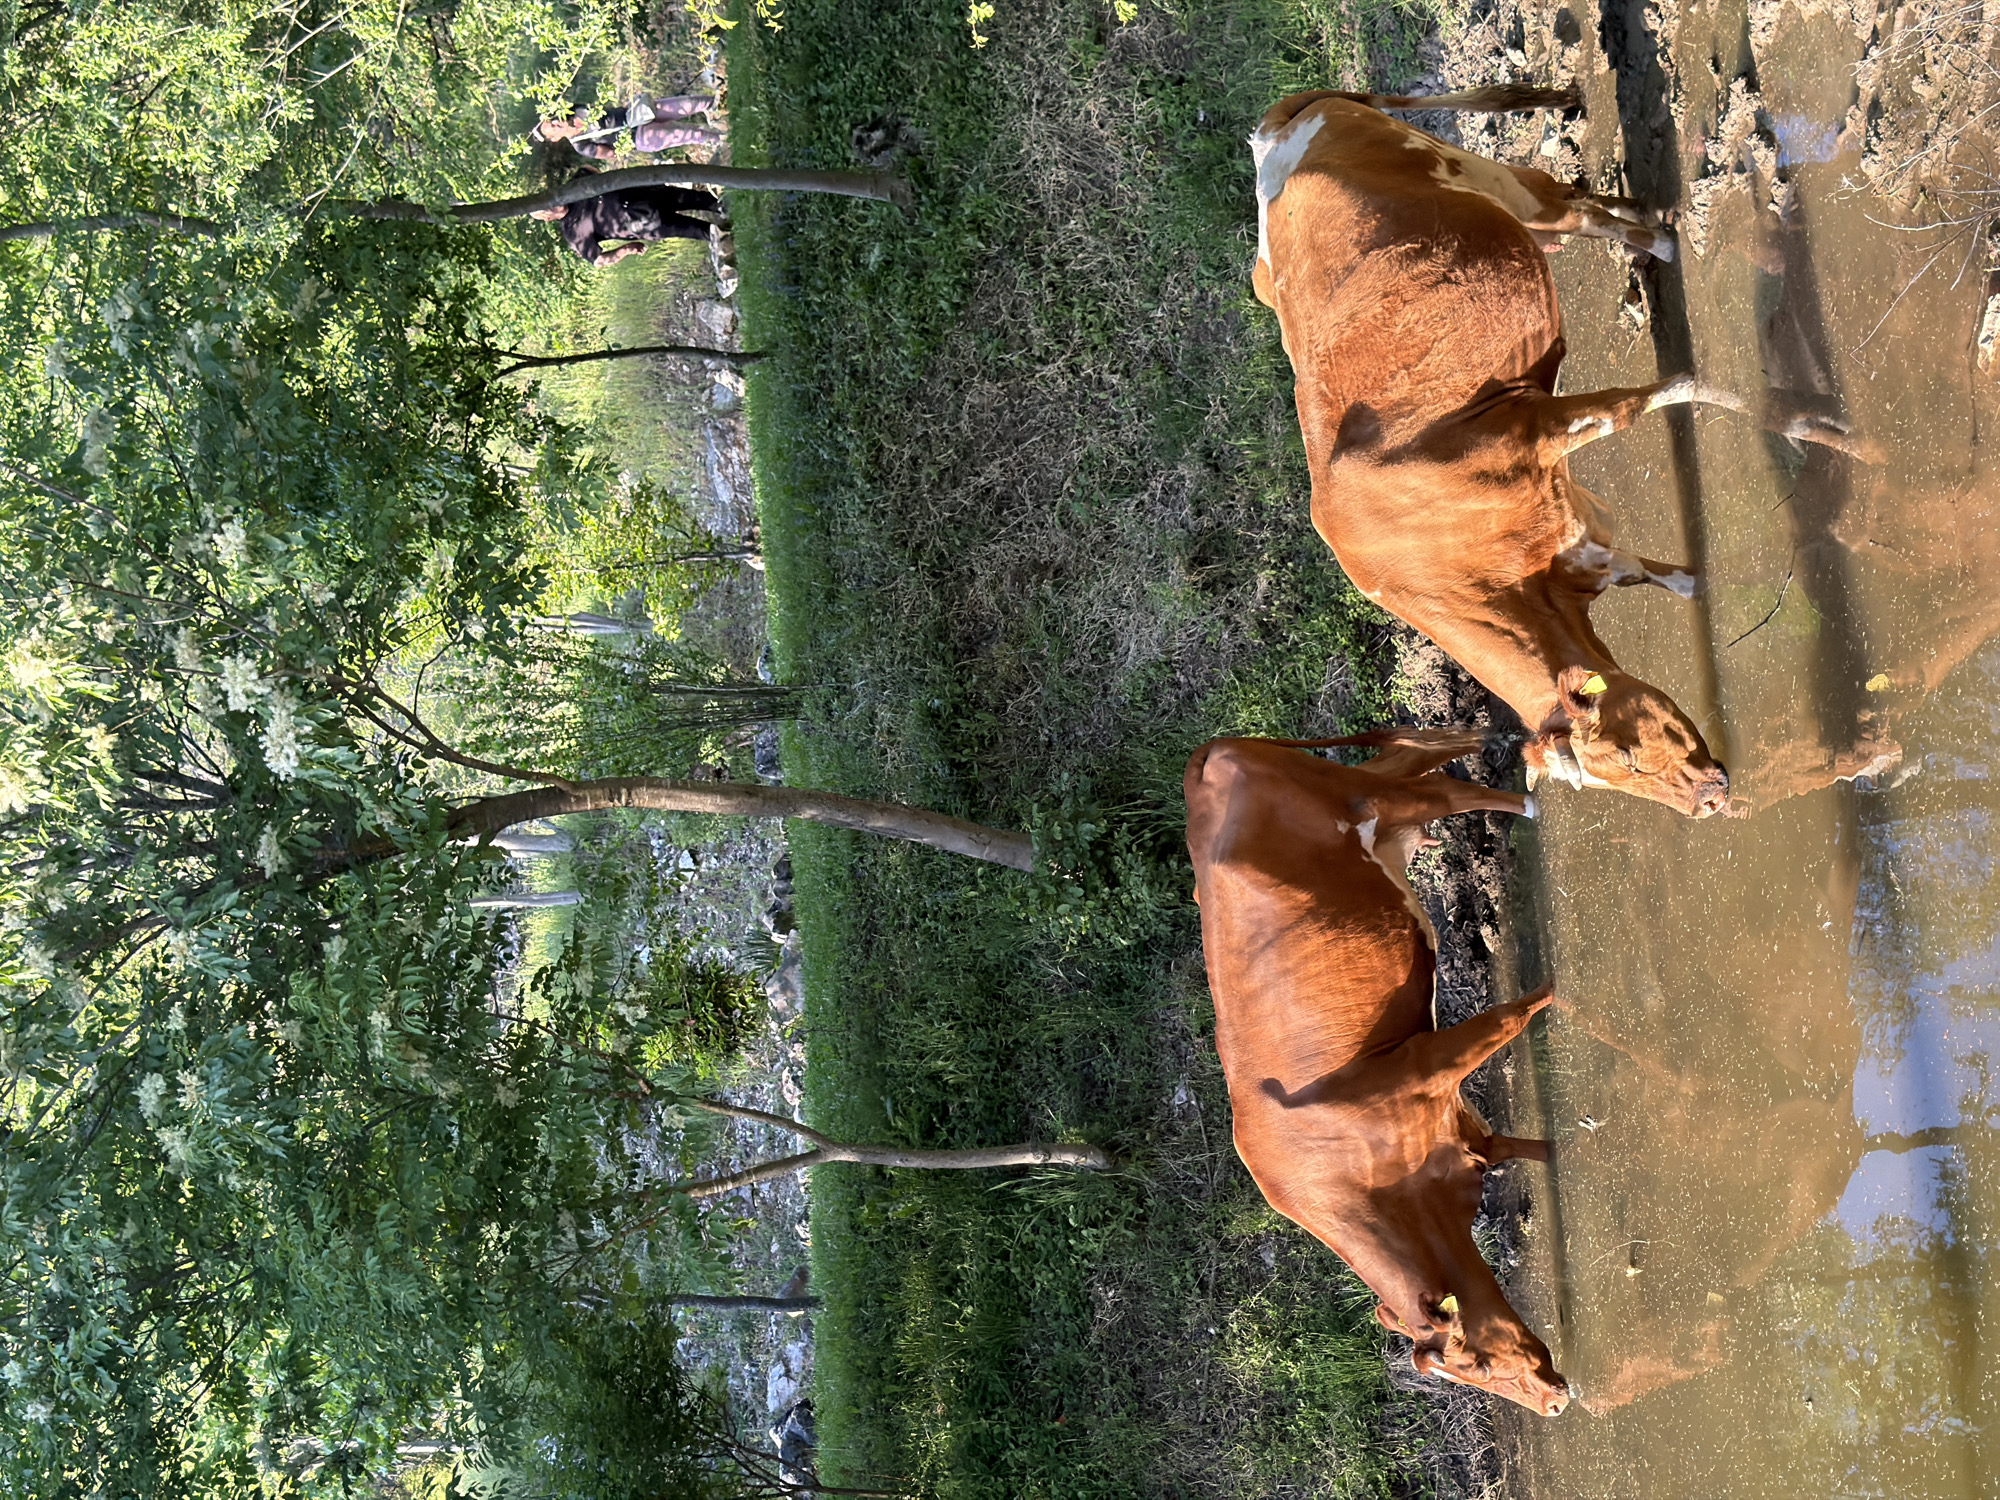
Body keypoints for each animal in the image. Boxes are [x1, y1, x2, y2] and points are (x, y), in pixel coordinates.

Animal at [1184, 729, 1568, 1415]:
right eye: (1473, 1372)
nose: (1554, 1404)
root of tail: (1205, 758)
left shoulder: (1429, 1063)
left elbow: (1512, 1015)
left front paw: (1559, 990)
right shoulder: (1455, 1122)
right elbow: (1518, 1145)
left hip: (1376, 800)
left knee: (1439, 783)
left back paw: (1526, 792)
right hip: (1376, 805)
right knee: (1415, 751)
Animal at [1251, 87, 1750, 817]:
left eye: (1630, 752)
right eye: (1619, 769)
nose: (1708, 804)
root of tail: (1275, 134)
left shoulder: (1538, 423)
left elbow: (1658, 395)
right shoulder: (1579, 546)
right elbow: (1660, 575)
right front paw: (1705, 583)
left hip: (1484, 180)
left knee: (1571, 208)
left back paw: (1657, 237)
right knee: (1577, 205)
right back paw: (1645, 219)